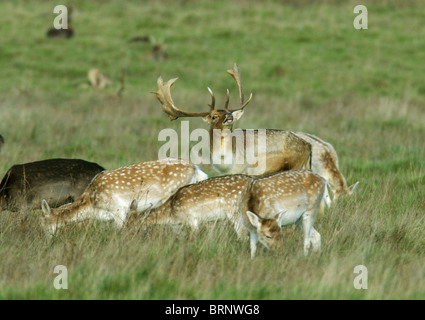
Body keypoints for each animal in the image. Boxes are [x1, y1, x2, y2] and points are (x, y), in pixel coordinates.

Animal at [152, 63, 312, 176]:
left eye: (230, 113)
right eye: (214, 116)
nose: (229, 117)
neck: (225, 163)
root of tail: (308, 146)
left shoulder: (246, 170)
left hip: (295, 164)